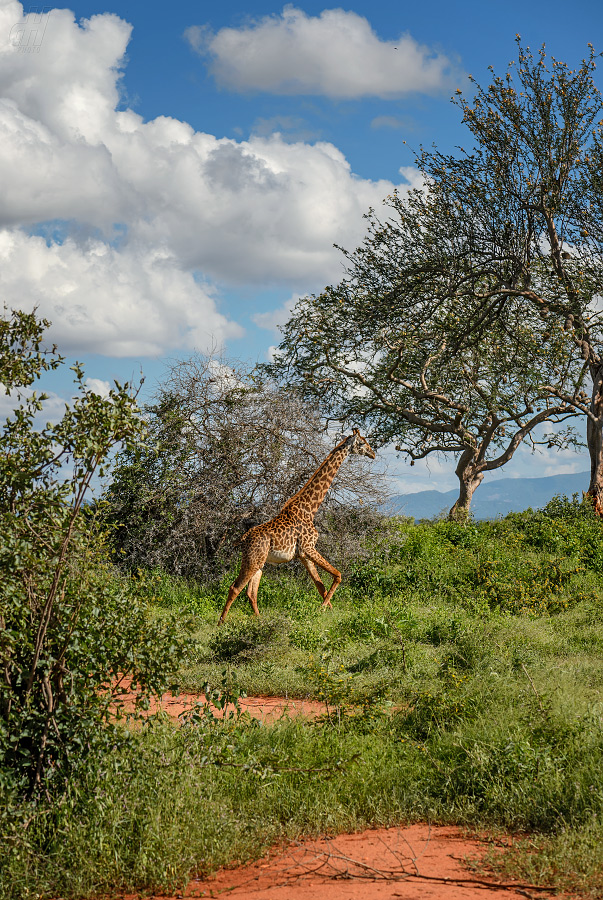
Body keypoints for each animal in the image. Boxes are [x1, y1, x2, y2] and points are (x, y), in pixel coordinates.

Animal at [219, 428, 376, 624]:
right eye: (362, 443)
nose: (373, 454)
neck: (310, 509)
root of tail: (244, 538)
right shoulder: (309, 547)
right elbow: (338, 575)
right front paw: (322, 609)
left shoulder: (303, 554)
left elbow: (320, 585)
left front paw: (327, 612)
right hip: (252, 561)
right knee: (235, 588)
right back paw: (221, 623)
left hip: (259, 562)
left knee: (250, 592)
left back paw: (260, 620)